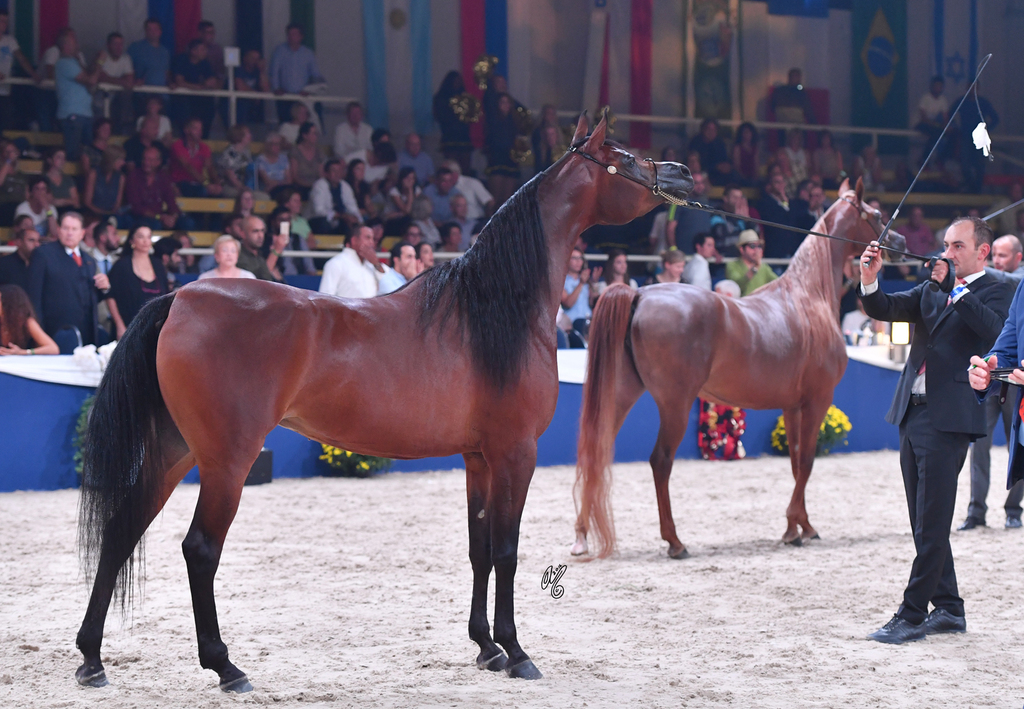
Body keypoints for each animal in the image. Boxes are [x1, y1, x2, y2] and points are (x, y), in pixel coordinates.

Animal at [74, 112, 693, 691]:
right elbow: (507, 551)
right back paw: (226, 666)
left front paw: (485, 648)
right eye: (622, 156)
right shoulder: (516, 453)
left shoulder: (479, 458)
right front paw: (517, 653)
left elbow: (479, 548)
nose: (683, 172)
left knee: (121, 530)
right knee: (200, 549)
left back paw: (91, 658)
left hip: (173, 451)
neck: (496, 309)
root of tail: (181, 296)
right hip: (227, 460)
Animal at [571, 178, 905, 559]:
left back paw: (581, 536)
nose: (900, 244)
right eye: (876, 214)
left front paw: (802, 525)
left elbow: (794, 462)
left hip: (623, 392)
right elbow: (807, 461)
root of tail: (640, 295)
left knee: (596, 451)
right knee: (660, 461)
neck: (808, 296)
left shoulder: (792, 406)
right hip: (675, 404)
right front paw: (794, 529)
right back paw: (675, 541)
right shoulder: (818, 400)